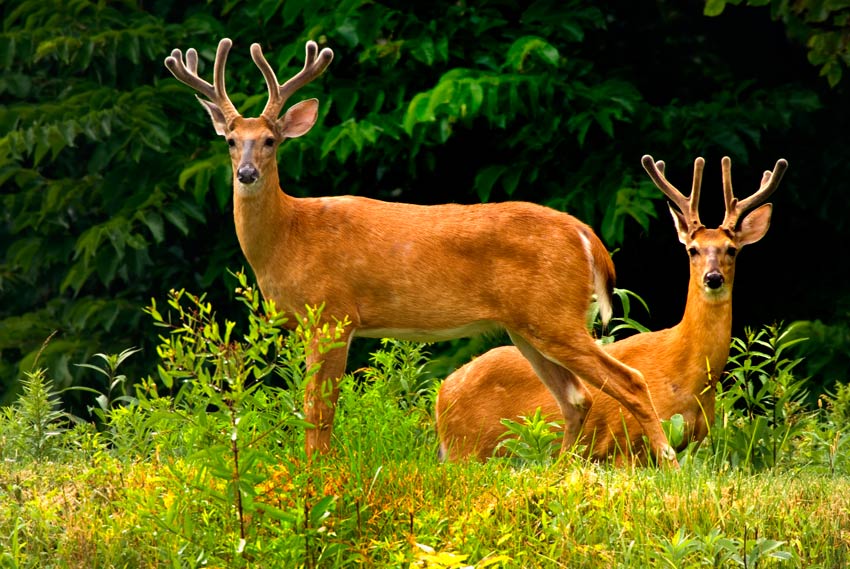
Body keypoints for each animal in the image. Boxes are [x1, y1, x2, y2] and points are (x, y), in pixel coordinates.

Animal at [164, 36, 676, 462]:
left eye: (270, 140)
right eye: (231, 141)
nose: (246, 173)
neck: (290, 236)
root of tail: (587, 237)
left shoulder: (334, 312)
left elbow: (319, 409)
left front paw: (316, 471)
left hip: (555, 315)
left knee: (627, 381)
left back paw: (667, 460)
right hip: (528, 325)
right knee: (575, 398)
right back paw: (558, 471)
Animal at [438, 154, 788, 462]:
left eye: (731, 250)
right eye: (693, 249)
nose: (713, 278)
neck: (686, 374)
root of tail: (442, 396)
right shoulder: (623, 443)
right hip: (466, 445)